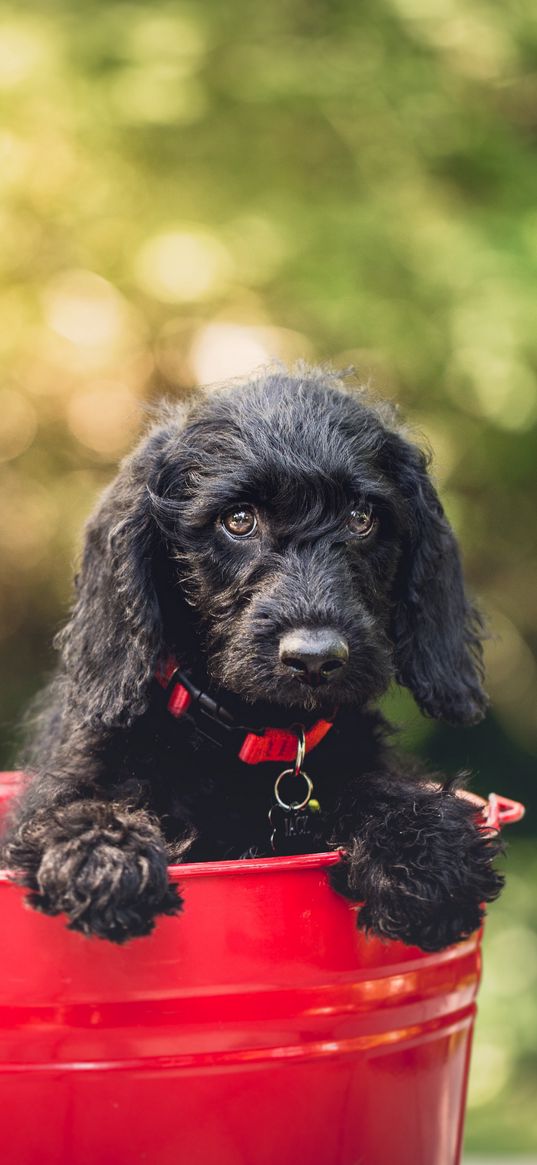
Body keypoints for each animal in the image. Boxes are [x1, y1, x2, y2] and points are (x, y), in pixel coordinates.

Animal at [3, 363, 503, 945]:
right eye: (238, 520)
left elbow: (378, 785)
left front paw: (423, 846)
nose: (315, 659)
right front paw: (101, 854)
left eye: (362, 518)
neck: (252, 738)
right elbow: (76, 805)